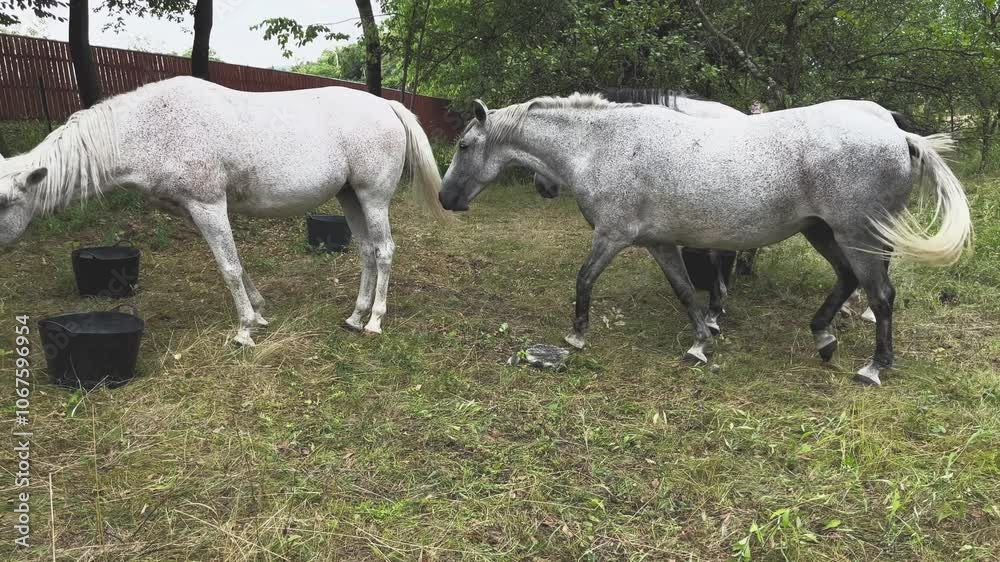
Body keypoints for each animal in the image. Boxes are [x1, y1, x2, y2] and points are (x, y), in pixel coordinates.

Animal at [0, 76, 446, 346]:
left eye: (5, 202)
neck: (153, 127)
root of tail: (387, 106)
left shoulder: (208, 205)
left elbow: (228, 267)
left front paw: (245, 330)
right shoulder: (196, 211)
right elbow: (235, 263)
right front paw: (260, 313)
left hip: (373, 198)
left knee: (384, 251)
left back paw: (374, 321)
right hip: (349, 197)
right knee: (367, 252)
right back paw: (355, 316)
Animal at [439, 94, 971, 386]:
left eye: (464, 145)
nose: (446, 198)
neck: (602, 146)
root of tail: (898, 135)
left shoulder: (612, 236)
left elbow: (584, 280)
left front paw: (577, 334)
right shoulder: (659, 243)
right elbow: (683, 292)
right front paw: (701, 341)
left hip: (856, 233)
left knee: (880, 294)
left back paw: (874, 367)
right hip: (824, 232)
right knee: (846, 279)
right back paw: (822, 336)